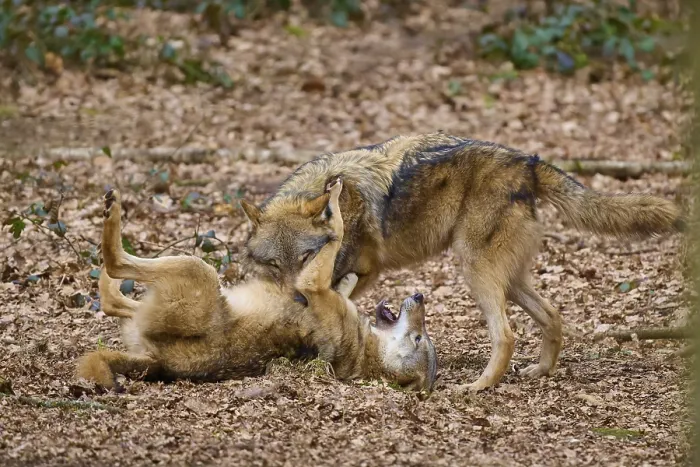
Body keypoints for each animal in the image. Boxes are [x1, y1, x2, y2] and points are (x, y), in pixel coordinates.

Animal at [77, 180, 438, 392]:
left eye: (420, 339)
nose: (420, 296)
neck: (364, 350)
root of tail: (158, 364)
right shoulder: (320, 287)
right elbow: (339, 265)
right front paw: (347, 276)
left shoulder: (312, 284)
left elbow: (335, 229)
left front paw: (332, 200)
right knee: (112, 297)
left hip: (198, 270)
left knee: (115, 267)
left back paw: (112, 213)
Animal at [239, 132, 685, 391]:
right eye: (275, 265)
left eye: (307, 256)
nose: (296, 299)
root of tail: (527, 163)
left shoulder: (361, 272)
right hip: (508, 278)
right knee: (552, 314)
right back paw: (539, 372)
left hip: (475, 270)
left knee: (506, 334)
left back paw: (478, 387)